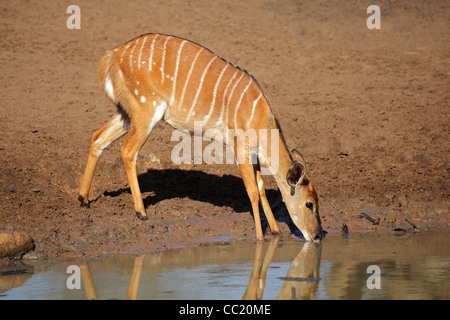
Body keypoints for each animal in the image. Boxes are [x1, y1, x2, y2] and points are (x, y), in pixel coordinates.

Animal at [78, 33, 324, 241]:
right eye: (309, 204)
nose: (317, 236)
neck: (262, 119)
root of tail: (112, 55)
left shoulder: (253, 153)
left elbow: (262, 186)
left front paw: (275, 231)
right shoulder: (239, 147)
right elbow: (253, 191)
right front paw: (260, 238)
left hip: (127, 113)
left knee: (97, 138)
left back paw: (83, 199)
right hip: (146, 110)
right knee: (128, 150)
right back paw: (141, 212)